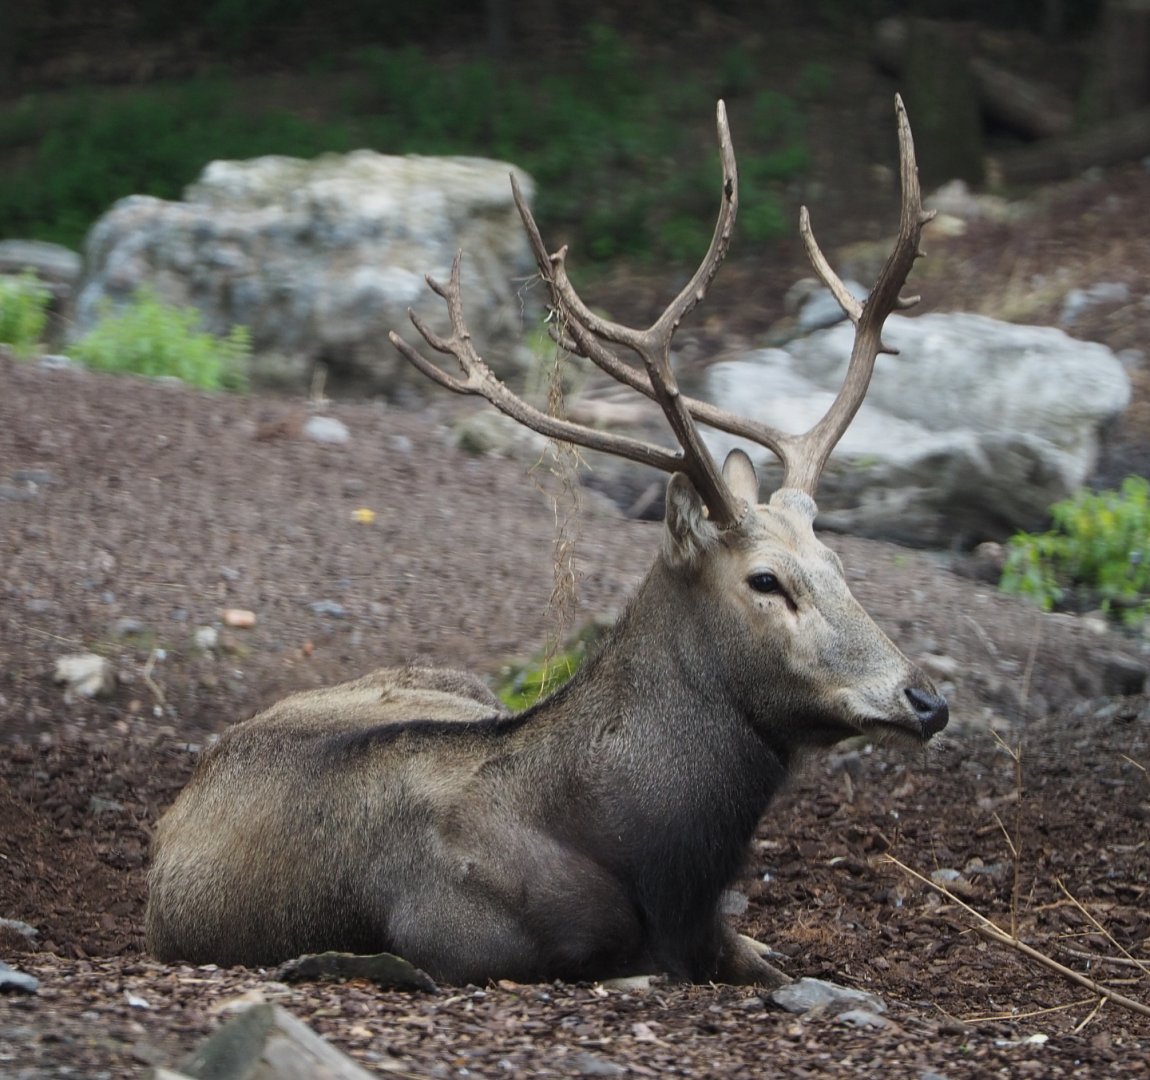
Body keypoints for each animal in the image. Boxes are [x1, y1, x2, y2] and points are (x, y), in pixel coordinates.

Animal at [146, 96, 945, 990]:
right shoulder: (457, 939)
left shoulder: (723, 938)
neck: (662, 876)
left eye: (838, 562)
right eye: (766, 581)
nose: (925, 698)